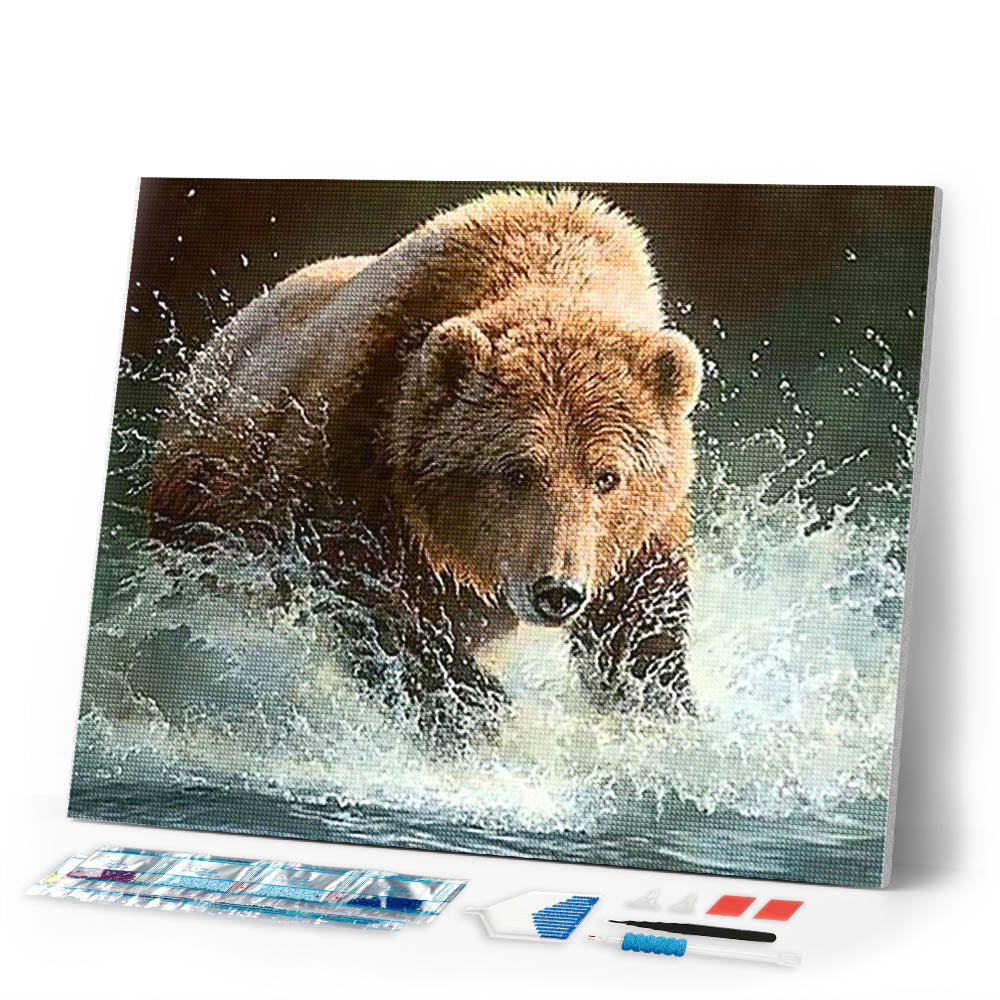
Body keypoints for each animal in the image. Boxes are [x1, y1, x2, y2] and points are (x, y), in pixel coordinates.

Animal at [150, 189, 702, 747]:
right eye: (517, 471)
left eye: (607, 477)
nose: (557, 592)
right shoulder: (360, 458)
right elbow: (371, 597)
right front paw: (471, 705)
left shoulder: (639, 533)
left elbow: (639, 625)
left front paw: (659, 705)